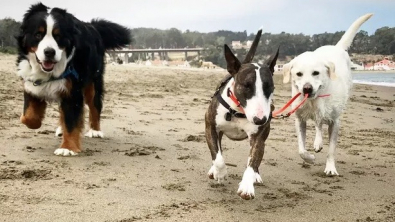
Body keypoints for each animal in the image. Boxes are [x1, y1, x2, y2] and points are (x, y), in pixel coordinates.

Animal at [17, 3, 132, 156]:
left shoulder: (72, 91)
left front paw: (67, 148)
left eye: (58, 36)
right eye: (38, 35)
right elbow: (28, 116)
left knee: (95, 106)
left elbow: (71, 122)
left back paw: (95, 131)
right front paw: (35, 122)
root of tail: (92, 25)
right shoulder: (32, 85)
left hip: (93, 83)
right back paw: (61, 128)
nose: (49, 52)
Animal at [284, 13, 372, 176]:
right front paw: (310, 158)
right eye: (299, 74)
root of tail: (336, 47)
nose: (307, 88)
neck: (313, 101)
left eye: (315, 73)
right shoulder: (300, 119)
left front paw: (330, 168)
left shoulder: (335, 122)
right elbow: (301, 149)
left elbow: (331, 149)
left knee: (320, 124)